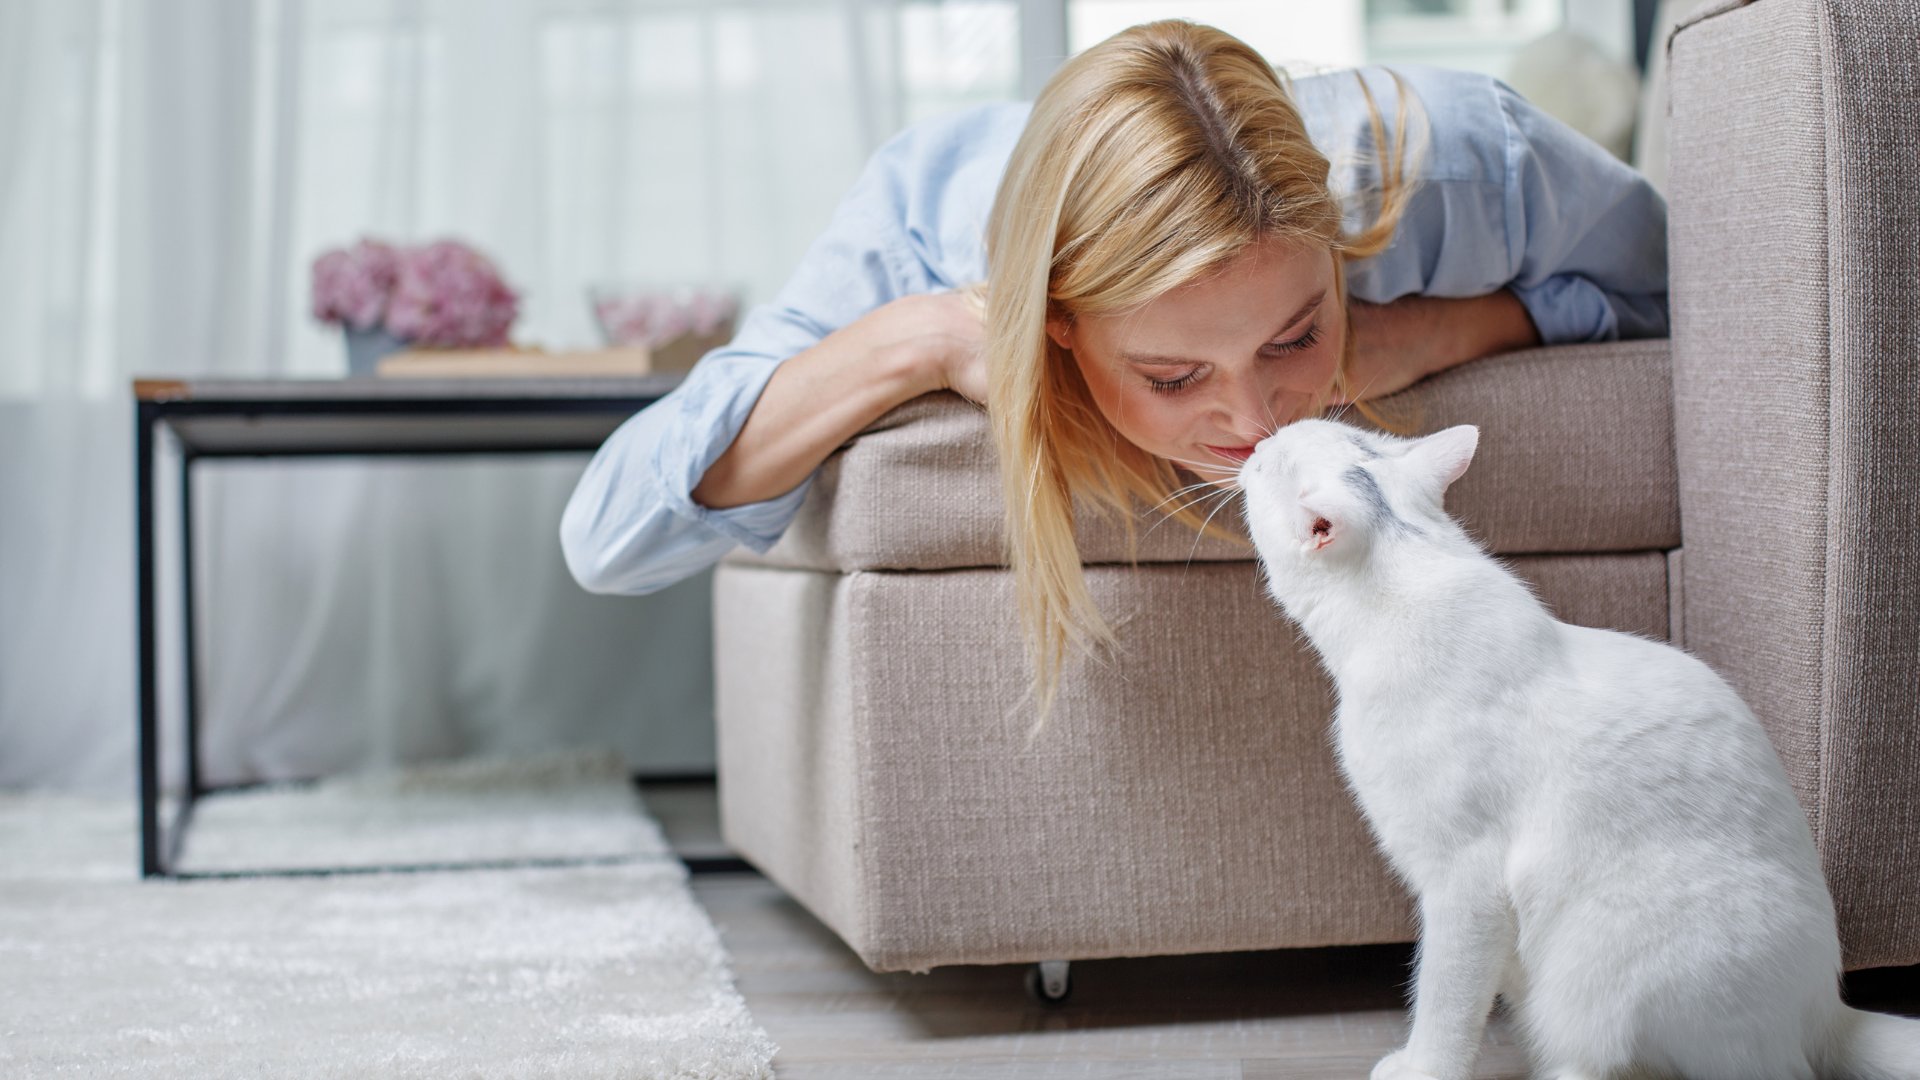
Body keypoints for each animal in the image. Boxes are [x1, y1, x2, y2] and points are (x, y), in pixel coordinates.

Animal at [1236, 413, 1912, 1076]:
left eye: (1271, 463)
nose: (1254, 449)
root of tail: (1826, 1009)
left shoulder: (1465, 879)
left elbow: (1444, 1001)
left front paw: (1423, 1068)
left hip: (1612, 957)